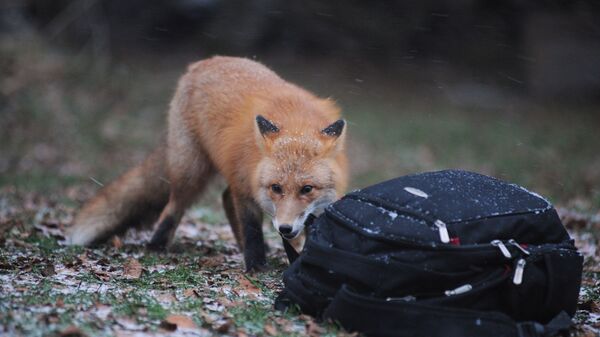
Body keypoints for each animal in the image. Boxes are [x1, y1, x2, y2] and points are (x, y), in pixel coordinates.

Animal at [65, 55, 346, 270]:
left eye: (307, 189)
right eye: (276, 188)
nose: (285, 229)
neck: (296, 125)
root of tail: (201, 63)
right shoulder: (245, 186)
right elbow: (252, 228)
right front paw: (256, 266)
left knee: (224, 197)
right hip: (192, 171)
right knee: (174, 207)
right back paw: (156, 245)